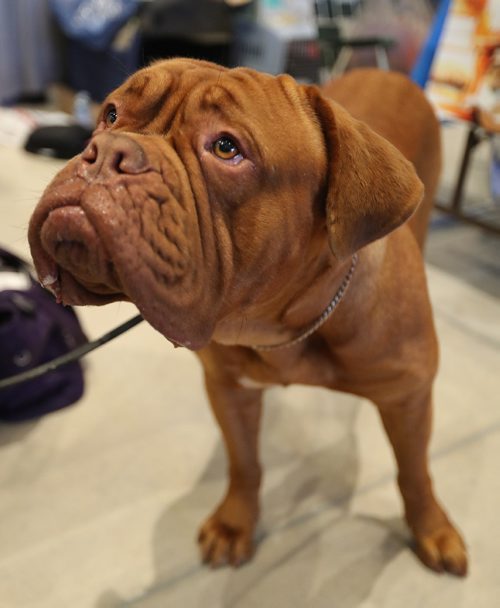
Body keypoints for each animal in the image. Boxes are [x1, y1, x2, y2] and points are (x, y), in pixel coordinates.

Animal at [27, 59, 466, 576]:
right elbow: (244, 462)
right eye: (111, 113)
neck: (284, 325)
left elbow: (415, 471)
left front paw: (432, 528)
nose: (108, 151)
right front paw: (236, 523)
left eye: (226, 147)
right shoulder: (229, 390)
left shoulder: (409, 399)